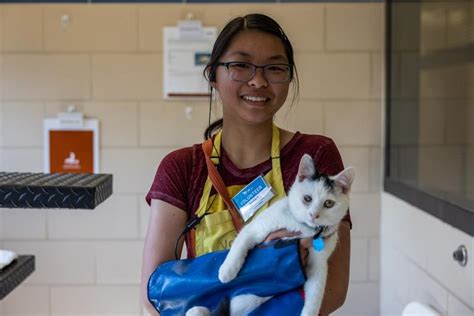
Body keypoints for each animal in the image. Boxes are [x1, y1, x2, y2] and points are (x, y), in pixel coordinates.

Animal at [187, 155, 354, 316]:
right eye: (307, 198)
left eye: (328, 204)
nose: (314, 215)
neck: (304, 227)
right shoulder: (255, 228)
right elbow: (240, 244)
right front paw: (227, 271)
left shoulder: (318, 264)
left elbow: (315, 294)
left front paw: (308, 313)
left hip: (248, 301)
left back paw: (198, 311)